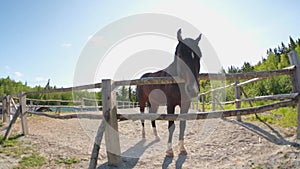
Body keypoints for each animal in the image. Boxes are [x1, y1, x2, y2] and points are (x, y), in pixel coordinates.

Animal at [137, 29, 202, 157]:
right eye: (180, 55)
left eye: (199, 57)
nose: (193, 90)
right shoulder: (170, 104)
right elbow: (171, 125)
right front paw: (169, 150)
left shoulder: (185, 104)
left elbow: (182, 125)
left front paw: (182, 148)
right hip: (142, 101)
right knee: (142, 117)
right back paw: (143, 136)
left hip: (154, 103)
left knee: (152, 116)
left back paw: (156, 136)